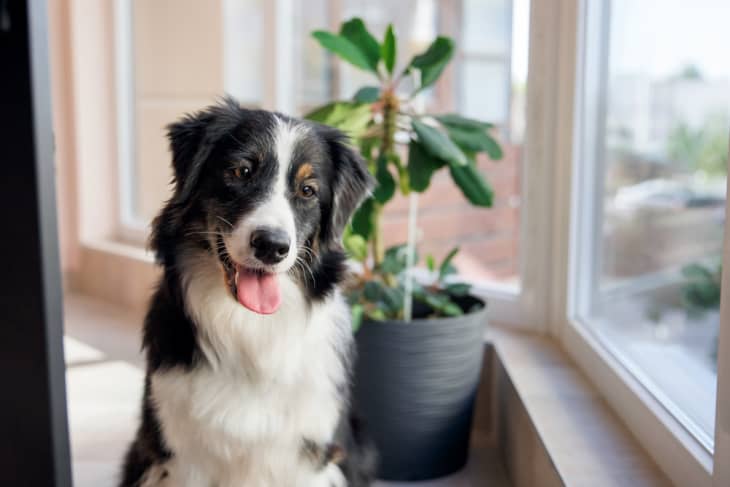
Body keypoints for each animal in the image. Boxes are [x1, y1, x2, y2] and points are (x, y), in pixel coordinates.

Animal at [118, 97, 376, 486]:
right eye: (241, 172)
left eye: (307, 190)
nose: (272, 246)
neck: (249, 325)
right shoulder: (181, 455)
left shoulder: (311, 457)